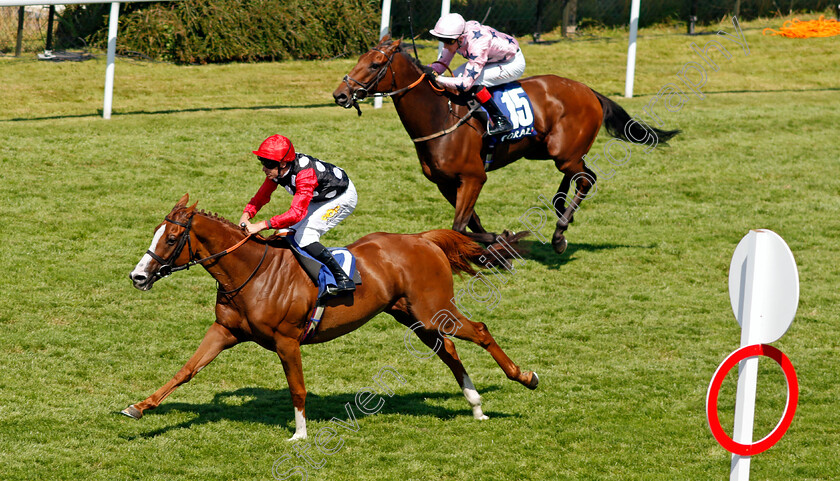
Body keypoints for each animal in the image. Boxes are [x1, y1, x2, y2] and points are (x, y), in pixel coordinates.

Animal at [123, 194, 540, 438]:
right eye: (156, 232)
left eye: (172, 238)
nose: (138, 276)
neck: (251, 273)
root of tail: (422, 239)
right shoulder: (225, 330)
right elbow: (186, 370)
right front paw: (139, 407)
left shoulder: (287, 340)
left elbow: (297, 387)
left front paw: (300, 435)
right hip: (414, 316)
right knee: (449, 351)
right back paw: (476, 405)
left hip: (434, 310)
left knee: (480, 331)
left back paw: (524, 377)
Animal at [332, 36, 680, 253]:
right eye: (360, 59)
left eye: (375, 64)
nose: (340, 94)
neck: (440, 116)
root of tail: (588, 90)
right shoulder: (446, 183)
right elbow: (469, 223)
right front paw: (498, 238)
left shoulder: (474, 177)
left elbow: (459, 225)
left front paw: (502, 237)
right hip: (547, 151)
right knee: (575, 175)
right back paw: (559, 209)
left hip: (562, 151)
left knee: (586, 177)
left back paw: (560, 231)